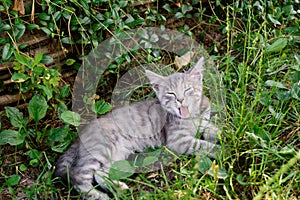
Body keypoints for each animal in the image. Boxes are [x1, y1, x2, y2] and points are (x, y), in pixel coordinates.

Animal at [55, 57, 221, 199]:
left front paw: (221, 134)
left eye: (188, 89)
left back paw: (118, 188)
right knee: (78, 175)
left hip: (116, 154)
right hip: (100, 149)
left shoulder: (204, 121)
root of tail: (81, 133)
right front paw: (222, 150)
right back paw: (98, 195)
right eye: (171, 93)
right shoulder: (178, 140)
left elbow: (213, 128)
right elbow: (202, 145)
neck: (193, 116)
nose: (180, 99)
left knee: (100, 173)